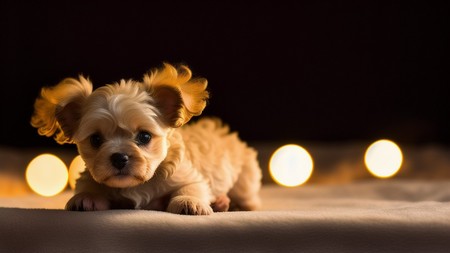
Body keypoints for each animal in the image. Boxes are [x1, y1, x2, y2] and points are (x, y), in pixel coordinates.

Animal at [30, 63, 260, 215]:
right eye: (95, 140)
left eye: (144, 136)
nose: (119, 158)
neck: (136, 185)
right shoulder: (93, 176)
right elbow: (90, 184)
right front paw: (86, 197)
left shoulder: (189, 174)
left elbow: (192, 186)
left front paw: (189, 201)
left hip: (245, 179)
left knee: (248, 200)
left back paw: (226, 203)